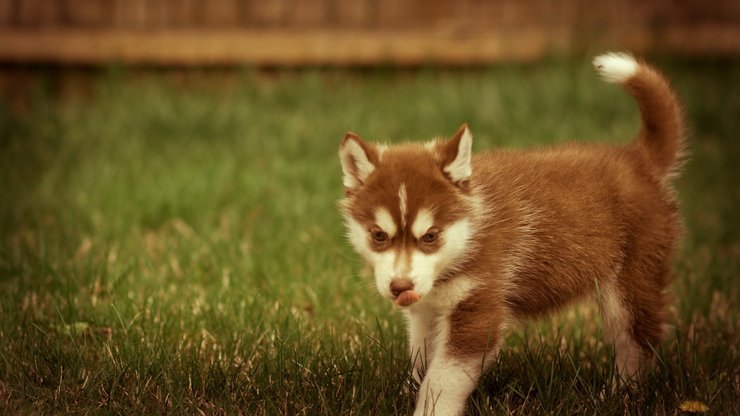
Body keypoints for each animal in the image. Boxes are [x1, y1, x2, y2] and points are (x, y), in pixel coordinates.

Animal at [338, 52, 684, 416]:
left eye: (430, 236)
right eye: (379, 235)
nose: (400, 287)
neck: (469, 234)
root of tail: (637, 159)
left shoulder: (478, 308)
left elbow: (443, 377)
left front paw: (430, 409)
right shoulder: (427, 312)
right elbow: (422, 361)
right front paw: (408, 392)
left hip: (630, 283)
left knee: (637, 342)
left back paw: (617, 396)